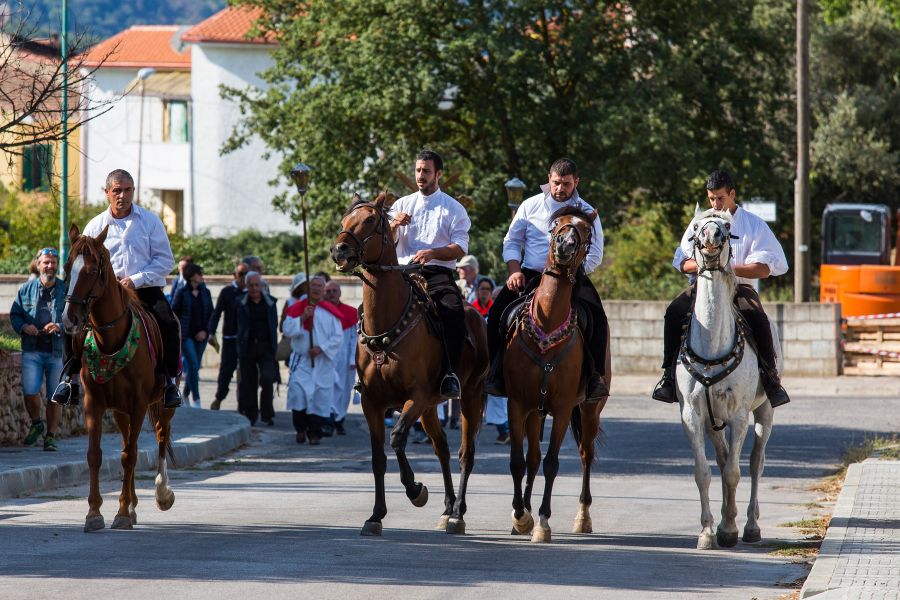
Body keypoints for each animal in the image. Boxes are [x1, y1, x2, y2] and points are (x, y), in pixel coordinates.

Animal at [61, 224, 176, 528]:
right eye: (66, 267)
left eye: (91, 271)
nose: (68, 319)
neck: (110, 339)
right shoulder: (94, 402)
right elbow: (96, 455)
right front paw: (94, 512)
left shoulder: (138, 404)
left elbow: (130, 456)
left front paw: (122, 512)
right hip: (121, 411)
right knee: (128, 441)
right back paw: (134, 505)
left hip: (162, 404)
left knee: (160, 436)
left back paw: (161, 493)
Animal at [330, 192, 488, 536]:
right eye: (345, 220)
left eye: (370, 220)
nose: (339, 249)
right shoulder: (372, 403)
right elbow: (378, 458)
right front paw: (375, 516)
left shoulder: (414, 397)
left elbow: (398, 438)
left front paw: (416, 490)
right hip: (430, 408)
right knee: (442, 448)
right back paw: (447, 507)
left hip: (469, 395)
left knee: (465, 453)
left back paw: (457, 513)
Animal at [506, 206, 612, 544]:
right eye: (556, 227)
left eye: (587, 232)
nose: (565, 244)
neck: (548, 324)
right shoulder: (518, 403)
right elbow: (518, 461)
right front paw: (521, 516)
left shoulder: (565, 407)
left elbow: (552, 463)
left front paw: (542, 522)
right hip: (535, 412)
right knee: (532, 457)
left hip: (589, 410)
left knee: (585, 455)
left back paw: (583, 517)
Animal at [676, 209, 780, 552]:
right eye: (696, 227)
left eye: (727, 226)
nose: (711, 237)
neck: (713, 346)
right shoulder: (692, 416)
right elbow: (705, 473)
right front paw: (709, 532)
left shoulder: (738, 416)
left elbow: (735, 472)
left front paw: (732, 529)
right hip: (713, 421)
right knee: (722, 462)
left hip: (764, 412)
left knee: (756, 462)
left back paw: (749, 526)